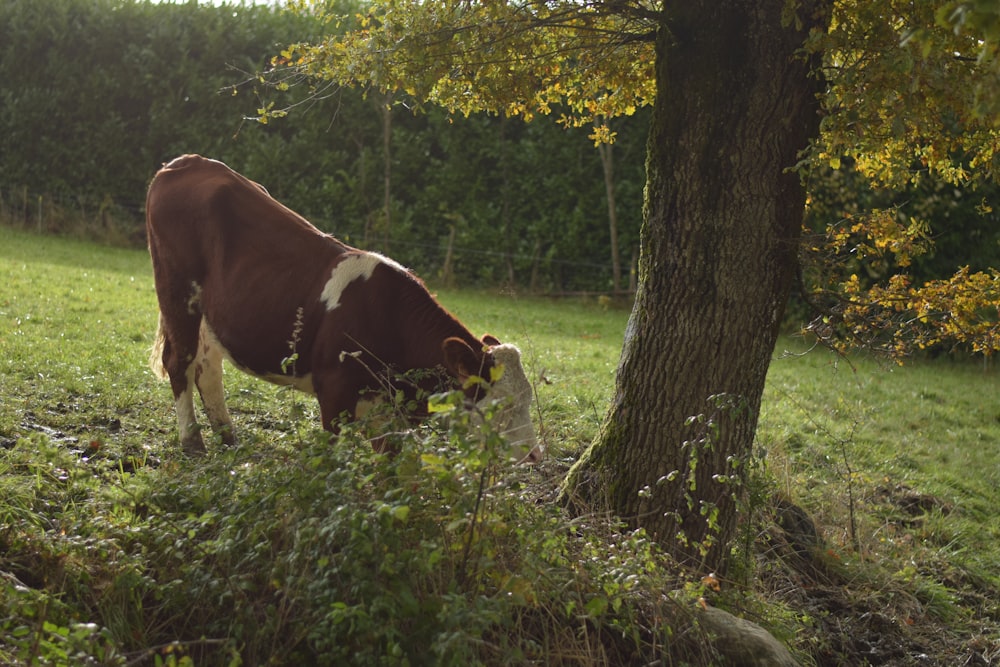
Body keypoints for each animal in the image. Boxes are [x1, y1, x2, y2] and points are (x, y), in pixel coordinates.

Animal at [145, 154, 540, 462]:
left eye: (528, 398)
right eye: (503, 405)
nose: (534, 456)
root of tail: (186, 162)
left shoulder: (389, 415)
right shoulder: (334, 391)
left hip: (209, 315)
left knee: (208, 367)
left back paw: (228, 439)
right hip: (177, 293)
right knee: (180, 362)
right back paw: (193, 443)